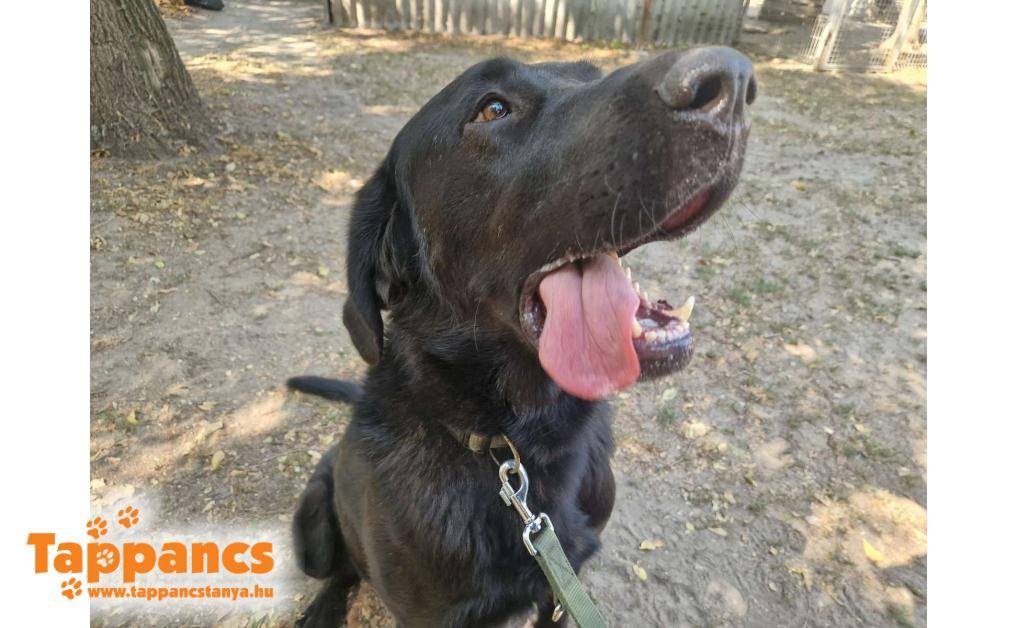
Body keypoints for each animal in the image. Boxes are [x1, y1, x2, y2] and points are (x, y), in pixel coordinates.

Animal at [287, 47, 754, 627]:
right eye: (491, 109)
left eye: (591, 75)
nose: (732, 78)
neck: (517, 449)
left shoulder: (563, 583)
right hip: (312, 525)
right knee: (341, 570)